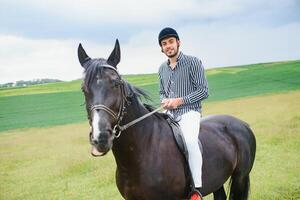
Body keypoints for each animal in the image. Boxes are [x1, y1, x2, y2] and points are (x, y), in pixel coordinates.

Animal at [77, 39, 255, 199]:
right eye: (84, 89)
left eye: (116, 84)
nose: (100, 138)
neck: (142, 151)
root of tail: (242, 124)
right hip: (217, 181)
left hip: (240, 178)